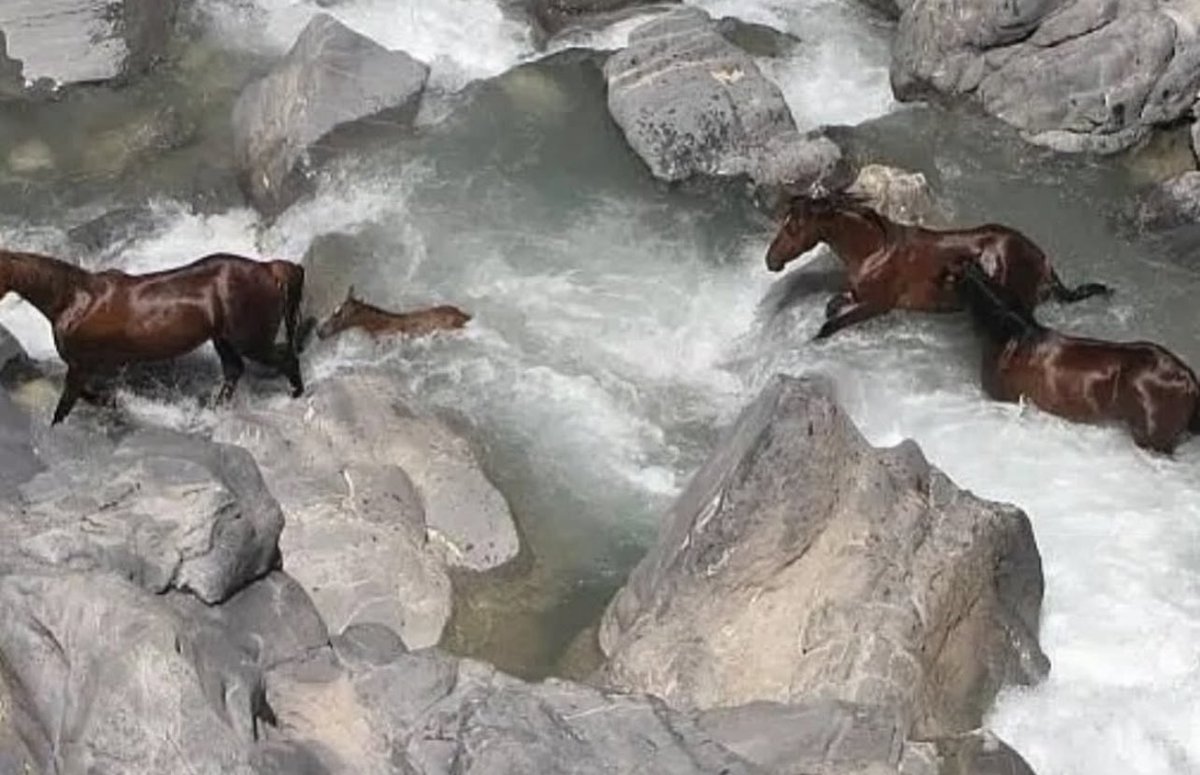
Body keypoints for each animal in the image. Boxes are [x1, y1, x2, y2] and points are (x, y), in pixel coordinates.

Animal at [0, 250, 306, 425]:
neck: (74, 300)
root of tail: (268, 268)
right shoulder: (90, 367)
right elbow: (85, 395)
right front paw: (114, 403)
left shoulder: (80, 366)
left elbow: (66, 404)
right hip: (223, 339)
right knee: (234, 370)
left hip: (250, 340)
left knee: (285, 358)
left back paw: (297, 395)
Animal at [765, 190, 1112, 340]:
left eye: (793, 227)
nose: (770, 261)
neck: (873, 251)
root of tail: (1042, 258)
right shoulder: (857, 294)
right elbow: (832, 306)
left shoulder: (878, 304)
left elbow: (829, 326)